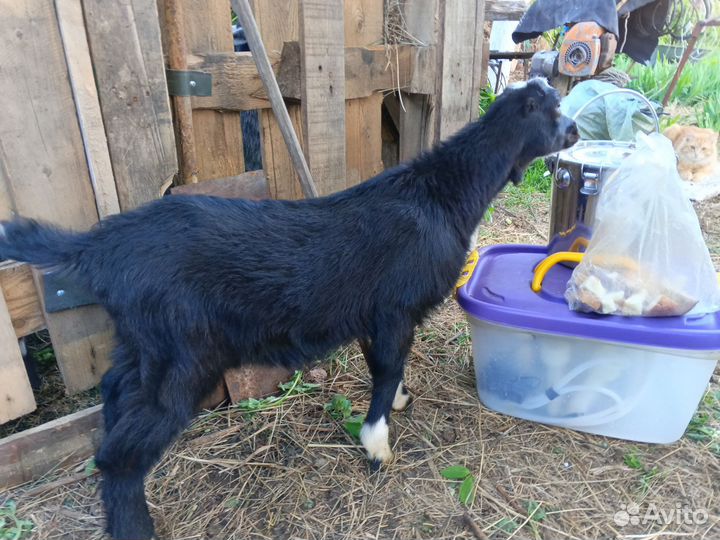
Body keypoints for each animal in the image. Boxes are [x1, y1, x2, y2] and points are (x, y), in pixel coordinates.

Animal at [0, 78, 578, 540]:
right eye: (555, 112)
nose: (575, 133)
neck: (437, 195)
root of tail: (98, 245)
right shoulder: (394, 309)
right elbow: (387, 367)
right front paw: (376, 444)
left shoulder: (374, 317)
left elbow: (386, 368)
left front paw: (399, 402)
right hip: (182, 355)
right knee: (121, 456)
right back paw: (134, 528)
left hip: (144, 344)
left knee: (114, 395)